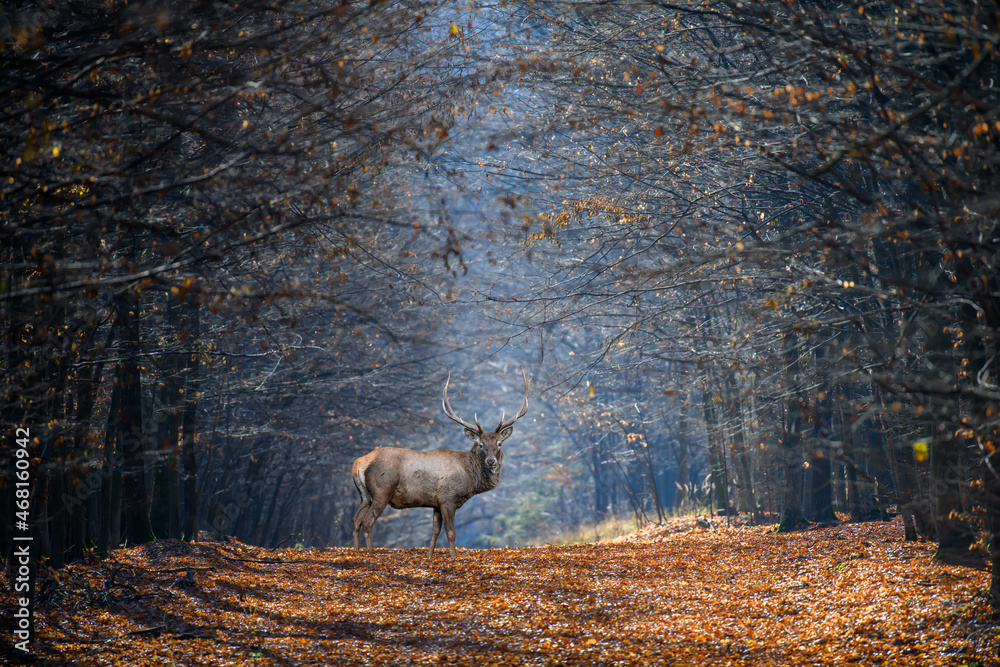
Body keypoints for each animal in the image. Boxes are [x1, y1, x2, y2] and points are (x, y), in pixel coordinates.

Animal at [350, 370, 528, 560]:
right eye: (480, 444)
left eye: (499, 443)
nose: (491, 461)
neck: (469, 477)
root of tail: (358, 464)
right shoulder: (447, 497)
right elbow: (450, 532)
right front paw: (454, 557)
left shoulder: (435, 502)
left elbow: (435, 531)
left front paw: (429, 556)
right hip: (381, 491)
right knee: (367, 522)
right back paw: (370, 553)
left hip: (364, 495)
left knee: (356, 519)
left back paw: (356, 551)